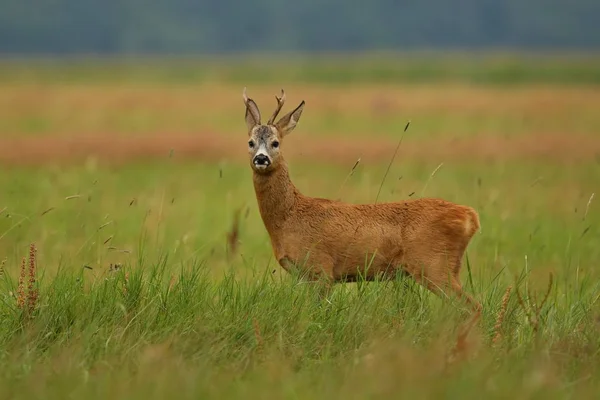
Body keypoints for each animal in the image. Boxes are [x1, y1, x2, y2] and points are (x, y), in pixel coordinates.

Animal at [244, 89, 482, 314]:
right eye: (251, 142)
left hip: (434, 264)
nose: (261, 158)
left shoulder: (321, 269)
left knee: (473, 307)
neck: (289, 217)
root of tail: (470, 216)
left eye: (275, 143)